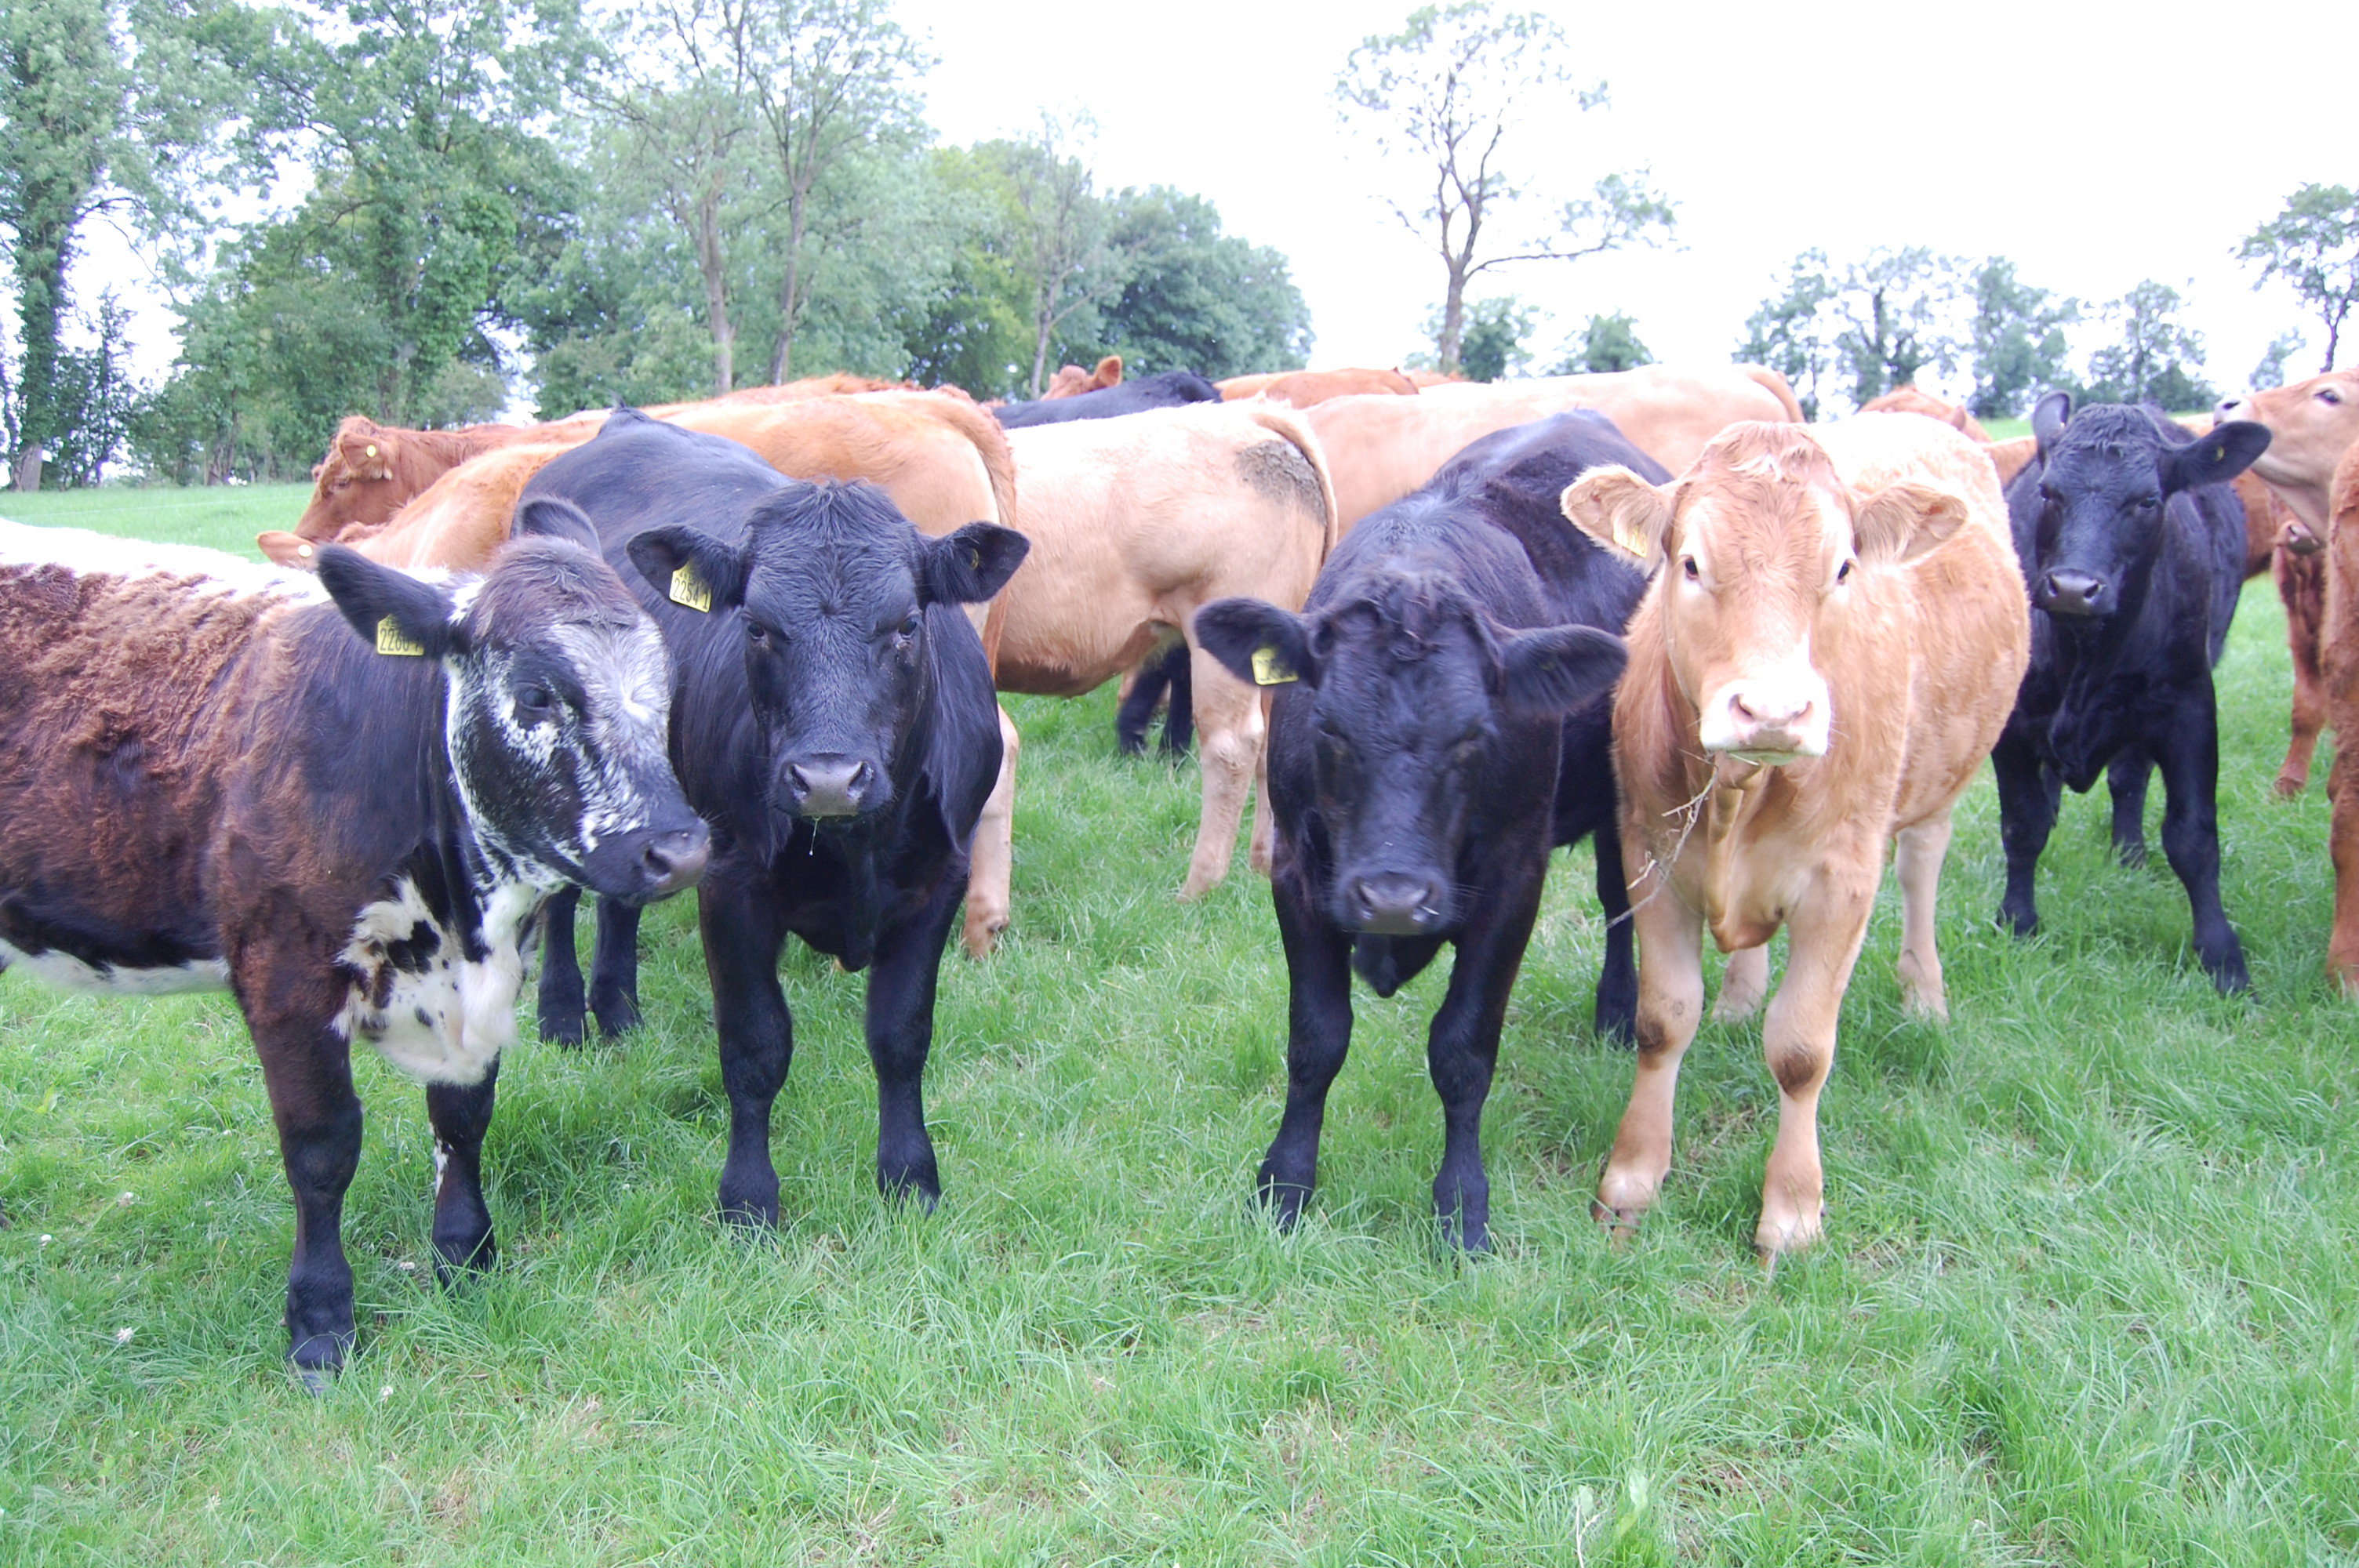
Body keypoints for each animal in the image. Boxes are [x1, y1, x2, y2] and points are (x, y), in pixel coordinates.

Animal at [0, 509, 705, 1381]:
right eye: (537, 694)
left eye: (665, 684)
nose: (679, 851)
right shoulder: (284, 978)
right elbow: (323, 1147)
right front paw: (320, 1317)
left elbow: (463, 1117)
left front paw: (464, 1256)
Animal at [515, 409, 1027, 1225]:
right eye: (756, 626)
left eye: (907, 625)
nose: (828, 778)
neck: (857, 847)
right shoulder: (731, 882)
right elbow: (755, 1047)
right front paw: (749, 1200)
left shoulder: (940, 879)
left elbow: (901, 1036)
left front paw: (910, 1181)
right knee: (560, 896)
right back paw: (564, 1019)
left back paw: (619, 1013)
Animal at [1191, 413, 1653, 1250]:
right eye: (1330, 729)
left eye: (1475, 735)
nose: (1394, 898)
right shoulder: (1299, 873)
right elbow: (1316, 1039)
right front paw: (1284, 1186)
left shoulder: (1513, 882)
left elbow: (1463, 1048)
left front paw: (1463, 1207)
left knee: (1619, 901)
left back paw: (1617, 1012)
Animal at [1558, 414, 2029, 1254]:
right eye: (1690, 563)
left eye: (1843, 568)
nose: (1773, 712)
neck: (1741, 792)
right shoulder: (1650, 856)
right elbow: (1662, 1021)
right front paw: (1633, 1180)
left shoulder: (1843, 883)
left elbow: (1803, 1052)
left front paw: (1792, 1211)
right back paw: (1740, 1000)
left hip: (1939, 784)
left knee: (1922, 869)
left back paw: (1924, 995)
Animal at [1990, 394, 2270, 992]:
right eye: (2049, 492)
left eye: (2147, 501)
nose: (2073, 588)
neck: (2084, 654)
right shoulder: (2014, 721)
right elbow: (2022, 825)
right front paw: (2017, 922)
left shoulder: (2190, 711)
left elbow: (2193, 838)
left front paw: (2224, 960)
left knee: (2128, 780)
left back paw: (2130, 852)